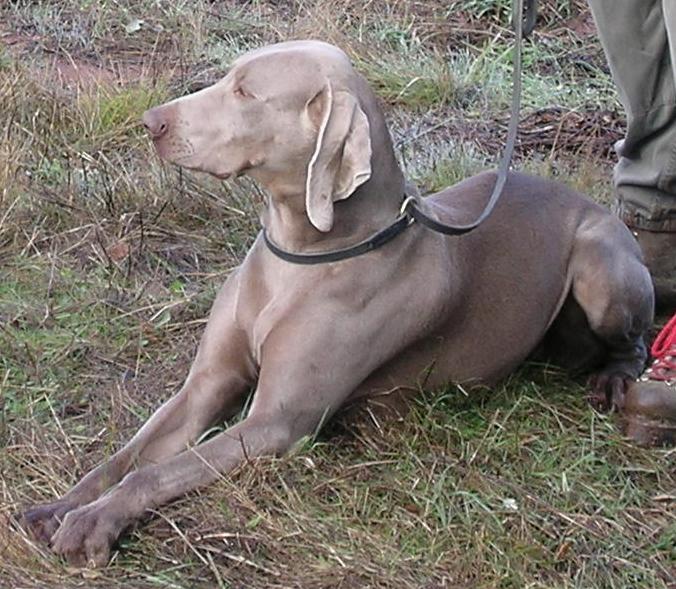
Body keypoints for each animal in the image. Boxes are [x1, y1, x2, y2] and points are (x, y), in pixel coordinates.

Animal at [21, 40, 654, 567]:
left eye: (246, 92)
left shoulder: (277, 424)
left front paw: (95, 524)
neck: (299, 255)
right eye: (227, 76)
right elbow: (124, 458)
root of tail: (585, 201)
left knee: (636, 342)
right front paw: (63, 506)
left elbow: (155, 474)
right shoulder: (204, 386)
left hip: (602, 268)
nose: (150, 121)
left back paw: (616, 381)